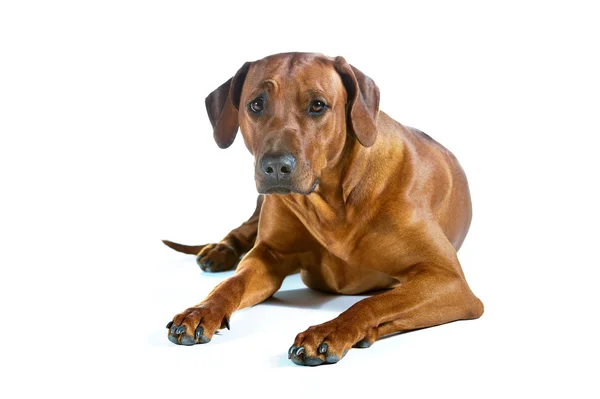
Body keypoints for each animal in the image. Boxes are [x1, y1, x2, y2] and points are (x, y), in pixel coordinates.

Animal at [163, 52, 482, 366]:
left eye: (317, 105)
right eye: (256, 104)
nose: (276, 166)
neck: (333, 200)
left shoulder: (448, 280)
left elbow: (373, 301)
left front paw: (330, 332)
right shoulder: (268, 255)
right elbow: (231, 284)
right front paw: (201, 310)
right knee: (241, 230)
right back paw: (219, 251)